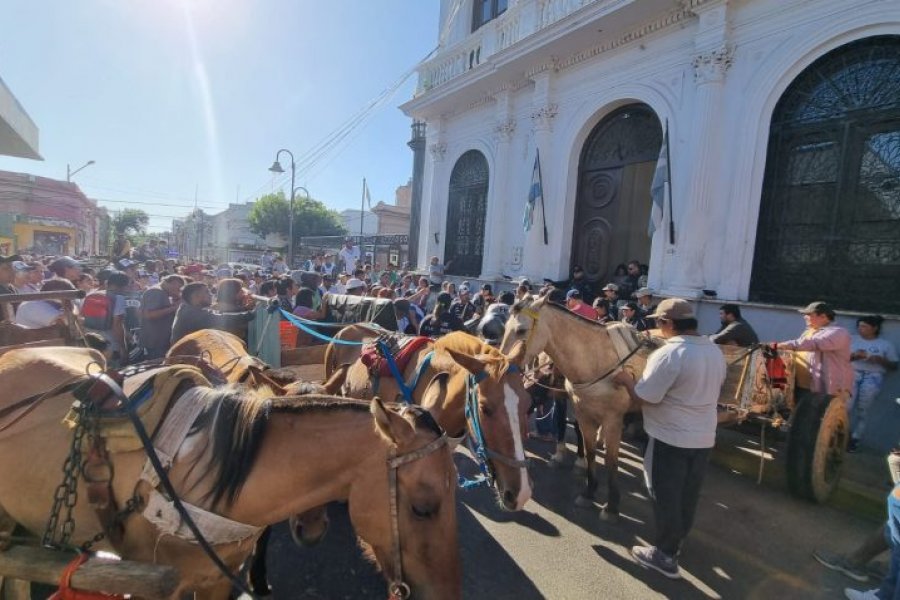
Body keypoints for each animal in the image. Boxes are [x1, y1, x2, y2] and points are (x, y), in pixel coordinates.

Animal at [500, 296, 652, 520]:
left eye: (521, 330)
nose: (500, 364)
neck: (596, 361)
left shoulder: (613, 419)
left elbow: (611, 461)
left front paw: (611, 506)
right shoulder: (581, 411)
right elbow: (588, 451)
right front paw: (588, 491)